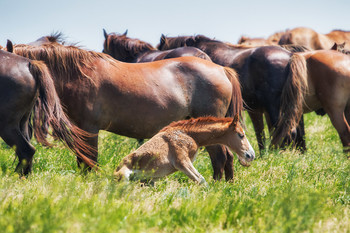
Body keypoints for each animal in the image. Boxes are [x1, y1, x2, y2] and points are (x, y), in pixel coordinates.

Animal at [10, 41, 245, 180]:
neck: (80, 75)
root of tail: (221, 69)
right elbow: (82, 161)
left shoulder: (89, 129)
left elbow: (90, 160)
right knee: (227, 158)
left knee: (220, 157)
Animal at [114, 114, 254, 184]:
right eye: (241, 135)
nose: (251, 155)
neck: (188, 134)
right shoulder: (182, 162)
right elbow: (201, 181)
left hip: (146, 181)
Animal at [157, 33, 308, 152]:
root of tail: (290, 56)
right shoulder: (255, 110)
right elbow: (260, 132)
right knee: (297, 130)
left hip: (276, 107)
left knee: (286, 131)